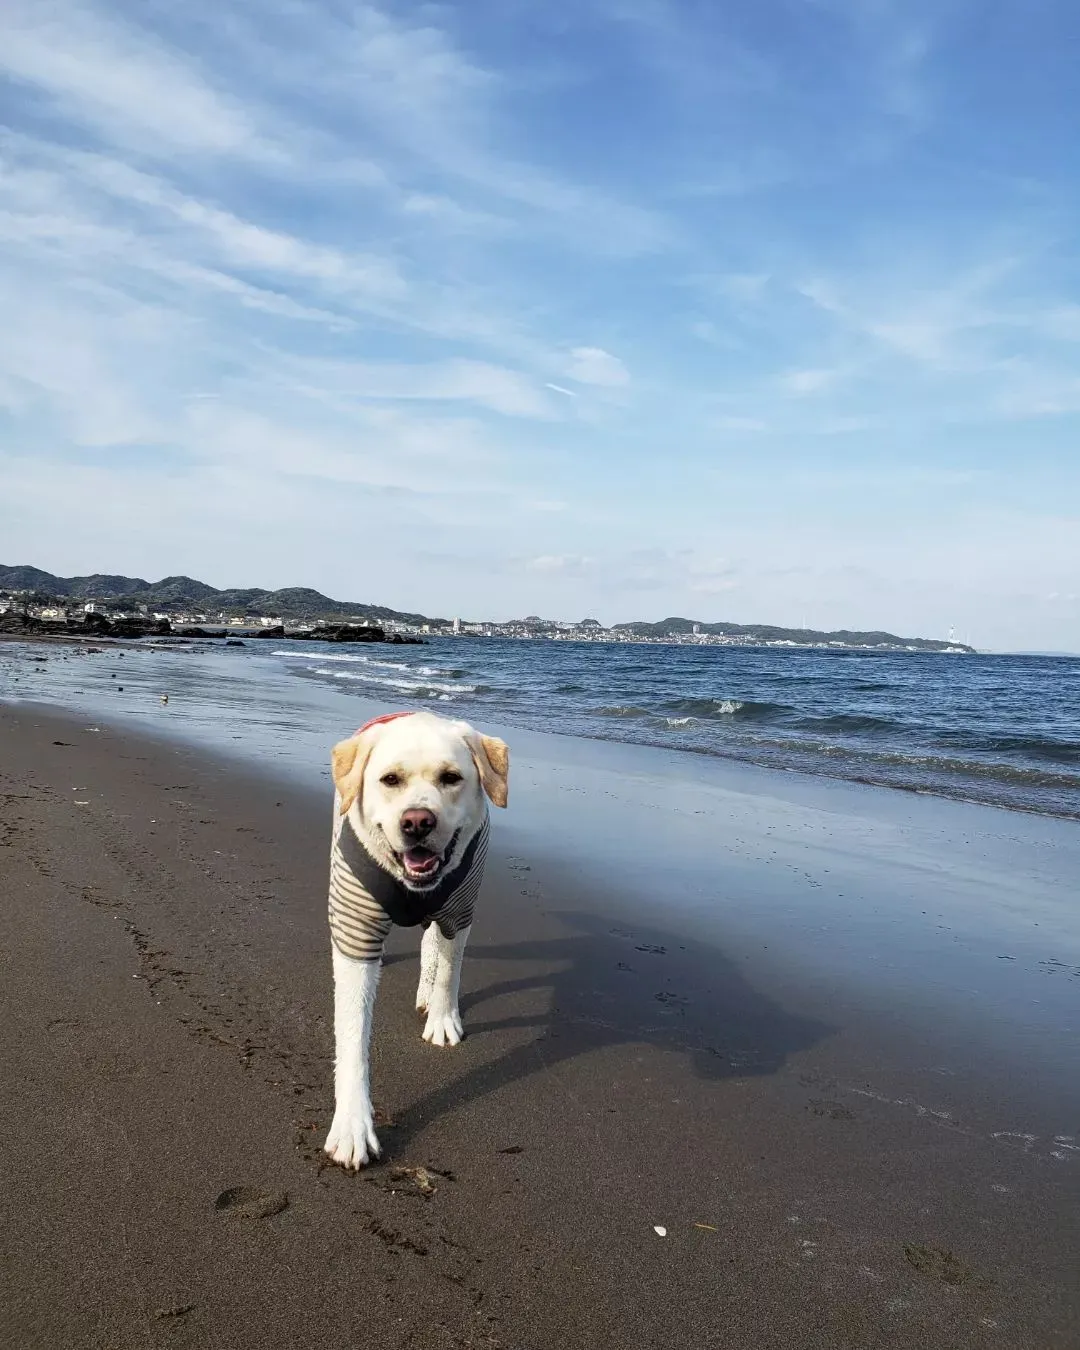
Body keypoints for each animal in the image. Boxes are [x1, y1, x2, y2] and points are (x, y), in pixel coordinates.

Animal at [322, 712, 507, 1166]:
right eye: (390, 779)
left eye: (451, 777)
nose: (418, 821)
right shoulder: (357, 927)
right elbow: (353, 1034)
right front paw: (352, 1124)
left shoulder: (459, 911)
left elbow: (449, 972)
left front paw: (442, 1018)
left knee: (431, 947)